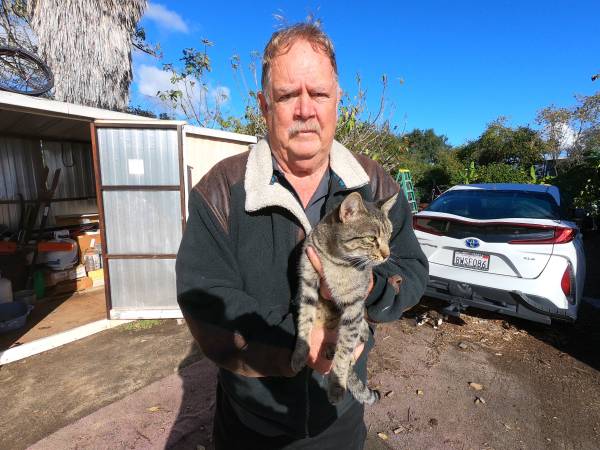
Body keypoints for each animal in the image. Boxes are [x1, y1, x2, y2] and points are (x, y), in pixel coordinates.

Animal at [291, 191, 398, 405]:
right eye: (371, 238)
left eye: (389, 236)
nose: (387, 255)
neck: (336, 260)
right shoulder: (307, 284)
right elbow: (304, 322)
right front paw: (300, 354)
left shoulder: (354, 306)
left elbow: (345, 349)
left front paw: (337, 386)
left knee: (359, 337)